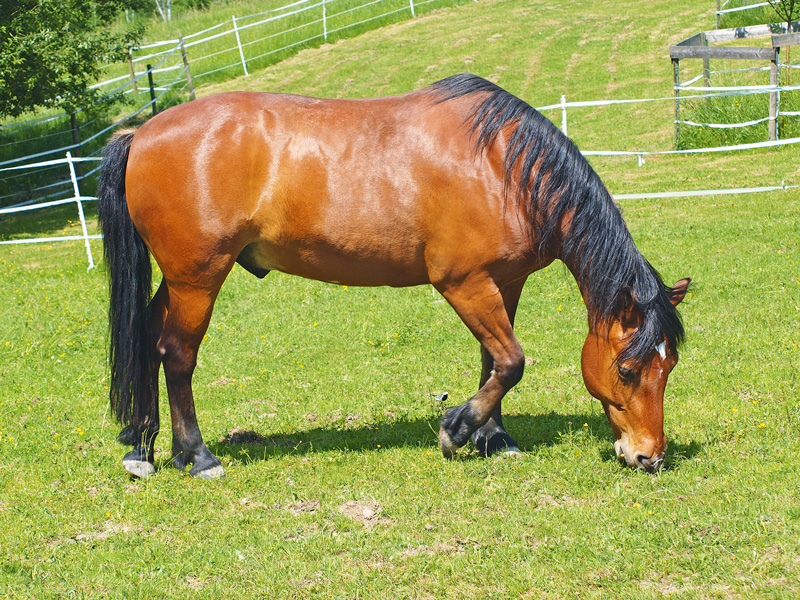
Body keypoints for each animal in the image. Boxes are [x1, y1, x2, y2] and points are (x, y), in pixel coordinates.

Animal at [98, 74, 688, 478]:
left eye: (670, 367)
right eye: (628, 370)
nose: (649, 457)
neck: (502, 166)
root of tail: (142, 133)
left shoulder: (504, 283)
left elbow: (492, 362)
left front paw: (493, 436)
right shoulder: (463, 283)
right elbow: (512, 362)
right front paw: (457, 430)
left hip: (178, 281)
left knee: (147, 338)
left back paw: (143, 448)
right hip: (197, 278)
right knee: (176, 354)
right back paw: (196, 456)